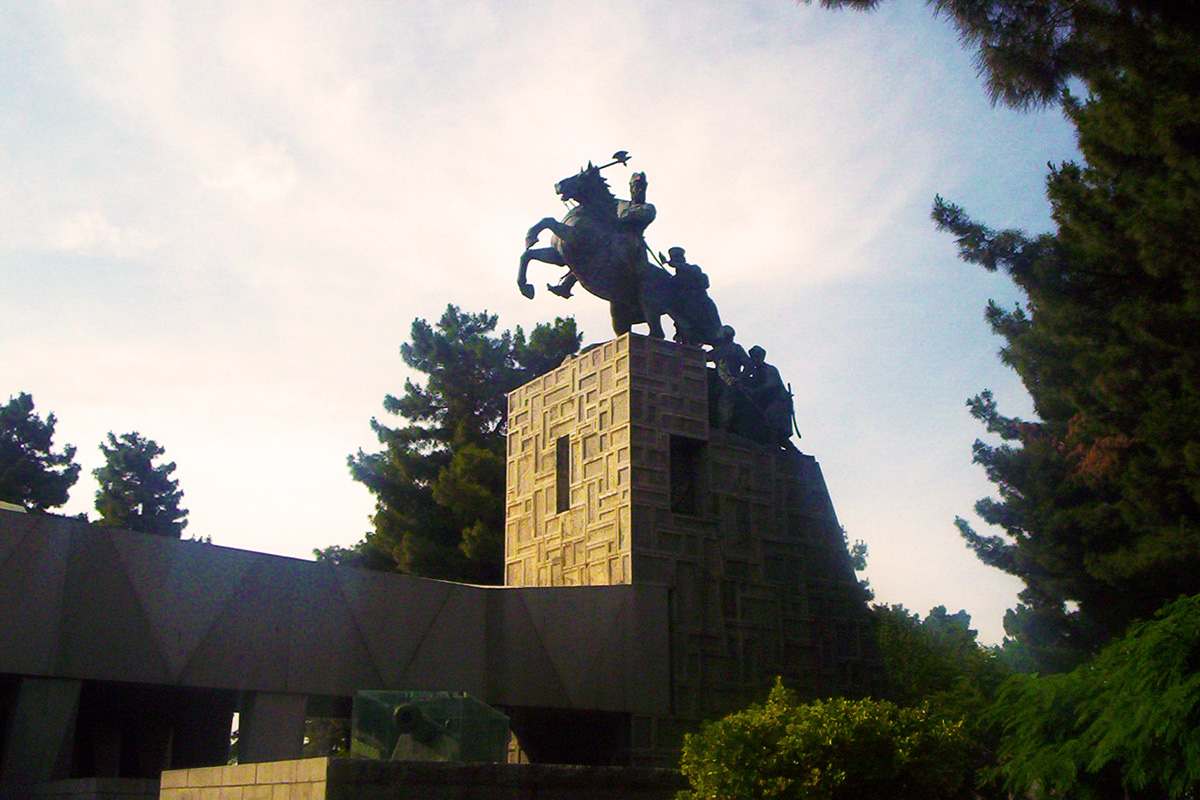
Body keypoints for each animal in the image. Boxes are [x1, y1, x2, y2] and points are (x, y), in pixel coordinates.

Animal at [520, 163, 681, 338]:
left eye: (580, 176)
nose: (558, 185)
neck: (594, 216)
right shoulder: (559, 257)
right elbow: (527, 254)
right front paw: (526, 288)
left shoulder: (573, 238)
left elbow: (548, 221)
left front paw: (531, 237)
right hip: (619, 310)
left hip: (649, 304)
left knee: (657, 333)